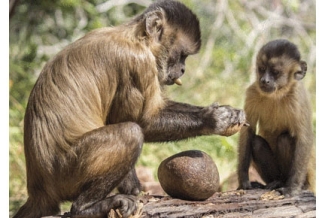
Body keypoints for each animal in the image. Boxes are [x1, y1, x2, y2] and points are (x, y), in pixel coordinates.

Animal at [13, 0, 246, 218]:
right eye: (182, 55)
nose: (182, 69)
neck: (135, 38)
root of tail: (38, 189)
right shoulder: (137, 62)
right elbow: (142, 122)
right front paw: (213, 119)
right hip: (65, 174)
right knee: (130, 132)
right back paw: (85, 208)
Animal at [235, 38, 314, 197]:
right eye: (261, 69)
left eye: (275, 72)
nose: (264, 80)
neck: (278, 94)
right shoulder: (253, 92)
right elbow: (248, 132)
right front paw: (244, 181)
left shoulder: (297, 97)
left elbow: (305, 138)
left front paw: (293, 188)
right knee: (257, 142)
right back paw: (276, 181)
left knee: (284, 139)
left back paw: (293, 184)